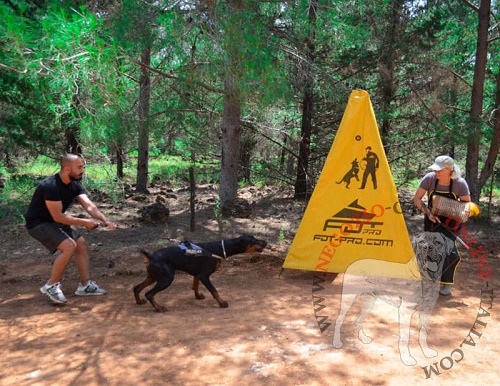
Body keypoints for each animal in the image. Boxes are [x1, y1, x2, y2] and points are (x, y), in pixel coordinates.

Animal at [133, 234, 266, 312]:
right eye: (253, 240)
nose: (265, 241)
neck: (219, 248)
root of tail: (151, 256)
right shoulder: (204, 275)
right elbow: (214, 290)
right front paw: (222, 302)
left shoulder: (198, 273)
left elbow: (195, 285)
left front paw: (198, 296)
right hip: (166, 279)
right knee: (149, 294)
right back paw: (159, 308)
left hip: (154, 277)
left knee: (136, 288)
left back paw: (139, 302)